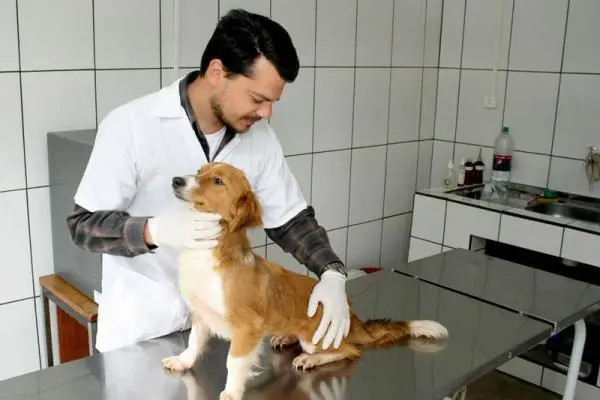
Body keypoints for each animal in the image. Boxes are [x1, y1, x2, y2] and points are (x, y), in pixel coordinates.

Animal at [161, 162, 449, 400]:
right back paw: (285, 336)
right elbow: (193, 343)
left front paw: (232, 392)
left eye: (218, 181)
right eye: (199, 171)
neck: (209, 253)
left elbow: (234, 361)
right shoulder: (200, 314)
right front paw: (183, 362)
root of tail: (352, 318)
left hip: (316, 338)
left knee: (349, 350)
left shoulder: (246, 328)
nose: (175, 180)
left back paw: (312, 360)